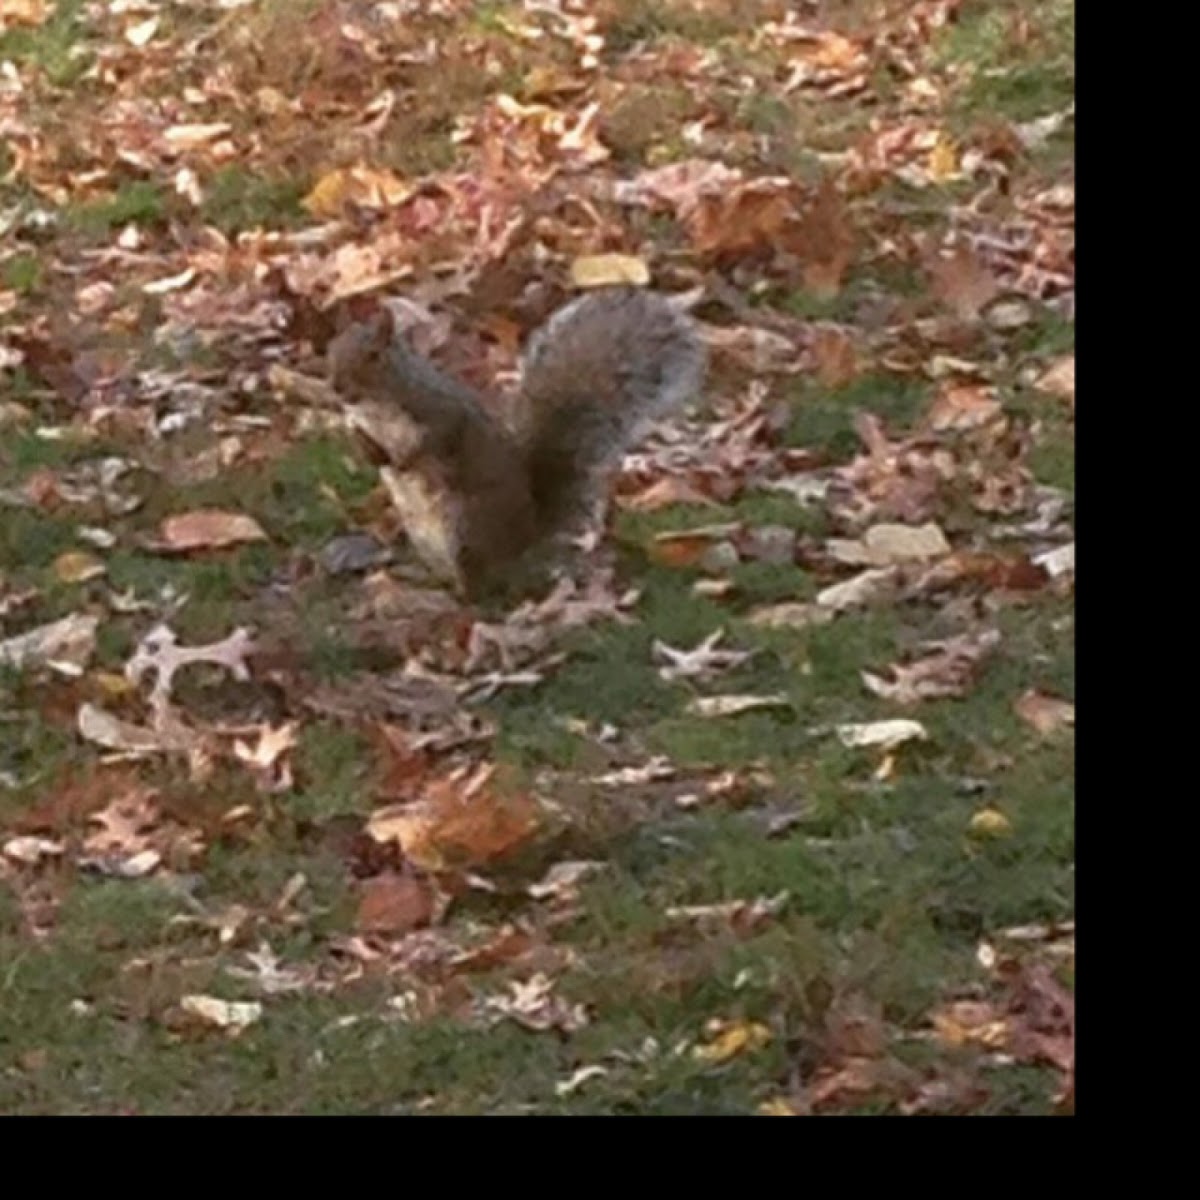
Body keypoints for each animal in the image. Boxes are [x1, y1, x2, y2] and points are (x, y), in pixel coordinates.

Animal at [324, 285, 705, 595]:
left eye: (373, 356)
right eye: (331, 347)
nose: (336, 387)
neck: (375, 407)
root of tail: (523, 544)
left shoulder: (437, 412)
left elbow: (435, 442)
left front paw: (406, 462)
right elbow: (366, 443)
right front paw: (368, 451)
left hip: (465, 528)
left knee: (473, 588)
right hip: (427, 538)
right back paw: (415, 574)